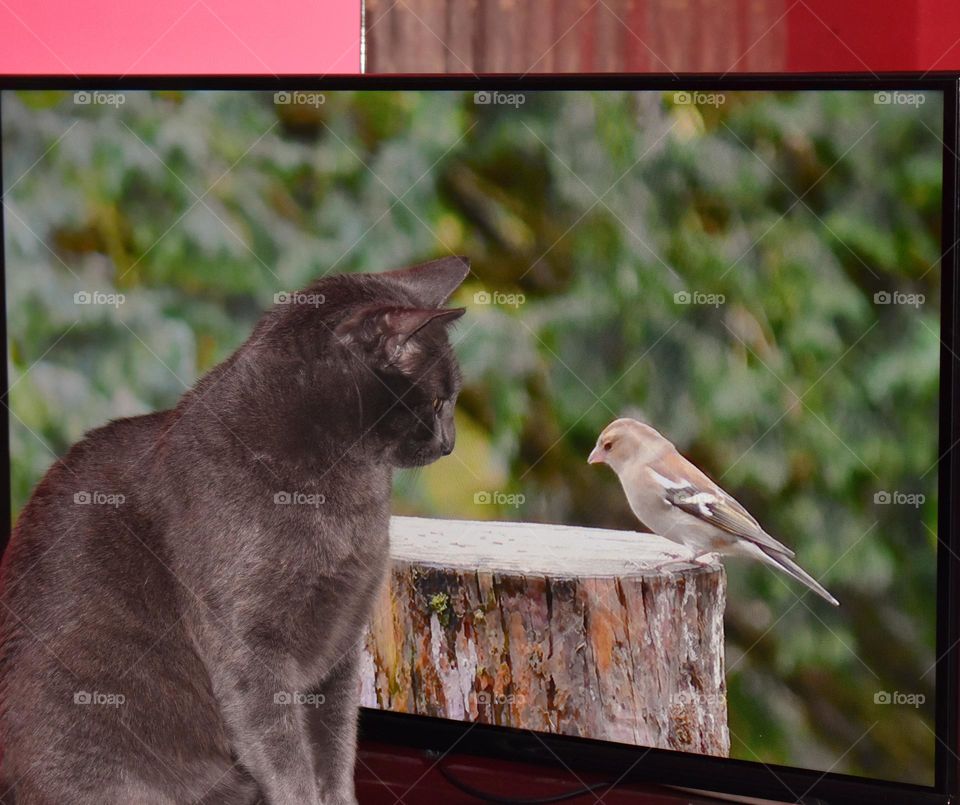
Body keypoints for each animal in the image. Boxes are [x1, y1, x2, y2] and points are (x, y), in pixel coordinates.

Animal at [0, 258, 468, 804]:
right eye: (438, 402)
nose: (451, 443)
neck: (348, 499)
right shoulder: (248, 645)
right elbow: (286, 758)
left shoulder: (341, 645)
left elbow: (335, 749)